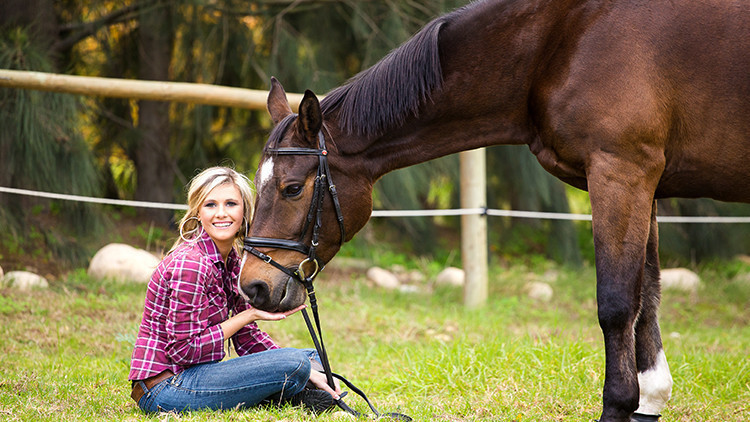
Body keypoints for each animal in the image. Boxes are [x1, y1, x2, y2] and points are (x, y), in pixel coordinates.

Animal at [239, 1, 750, 420]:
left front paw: (621, 403)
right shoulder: (643, 183)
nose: (254, 286)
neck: (566, 38)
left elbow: (618, 303)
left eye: (291, 188)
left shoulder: (620, 172)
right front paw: (651, 398)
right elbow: (648, 296)